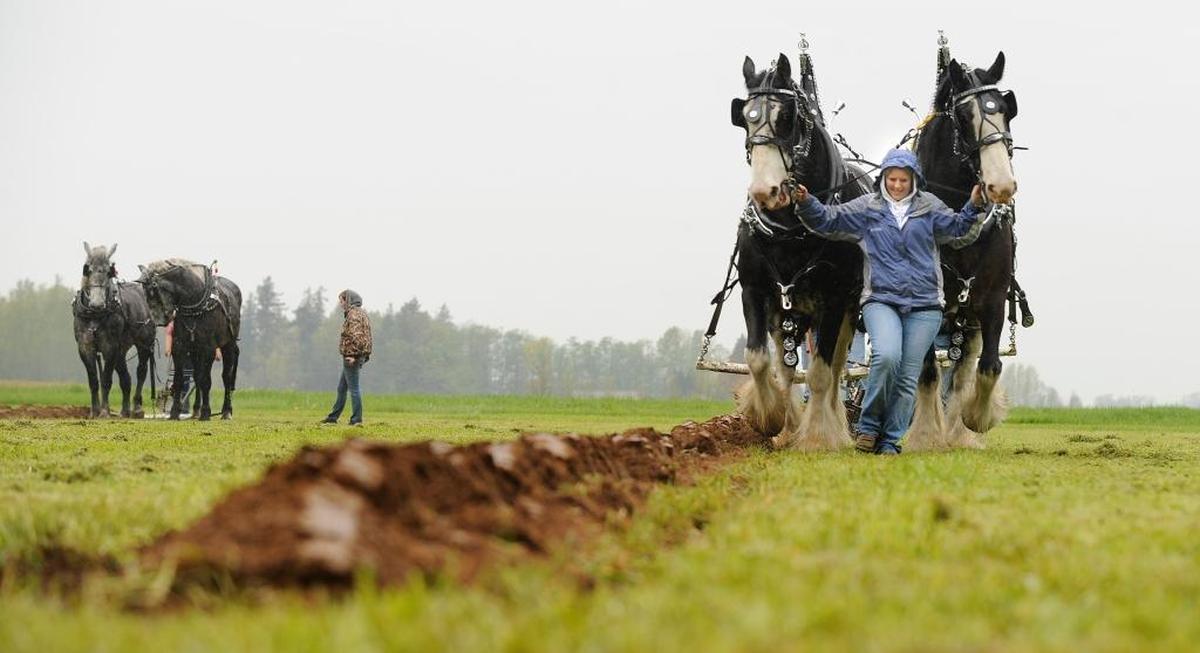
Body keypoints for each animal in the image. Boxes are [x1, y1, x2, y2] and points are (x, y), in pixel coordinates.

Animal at [72, 242, 156, 418]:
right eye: (87, 269)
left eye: (108, 271)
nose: (97, 304)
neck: (95, 315)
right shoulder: (85, 346)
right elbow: (93, 380)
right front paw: (94, 411)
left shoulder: (109, 346)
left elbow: (106, 379)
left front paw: (104, 411)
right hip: (121, 350)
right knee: (126, 378)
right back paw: (125, 411)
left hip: (143, 344)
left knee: (141, 372)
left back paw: (136, 408)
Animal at [136, 259, 242, 420]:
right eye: (145, 293)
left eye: (153, 291)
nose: (159, 321)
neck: (195, 303)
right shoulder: (180, 347)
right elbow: (180, 379)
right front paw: (175, 412)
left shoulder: (209, 349)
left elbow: (206, 381)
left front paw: (206, 412)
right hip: (194, 350)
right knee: (197, 376)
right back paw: (196, 410)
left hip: (228, 345)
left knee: (226, 378)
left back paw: (226, 411)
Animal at [729, 53, 873, 450]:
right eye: (743, 116)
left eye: (787, 118)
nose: (765, 191)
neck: (790, 233)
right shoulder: (756, 290)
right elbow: (758, 359)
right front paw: (772, 419)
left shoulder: (835, 298)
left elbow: (823, 373)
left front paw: (819, 437)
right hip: (787, 312)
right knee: (786, 367)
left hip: (844, 310)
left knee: (837, 368)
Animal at [906, 51, 1024, 450]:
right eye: (963, 116)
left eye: (1006, 109)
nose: (1002, 185)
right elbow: (926, 369)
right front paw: (925, 434)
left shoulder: (992, 299)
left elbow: (987, 366)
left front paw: (975, 419)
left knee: (963, 368)